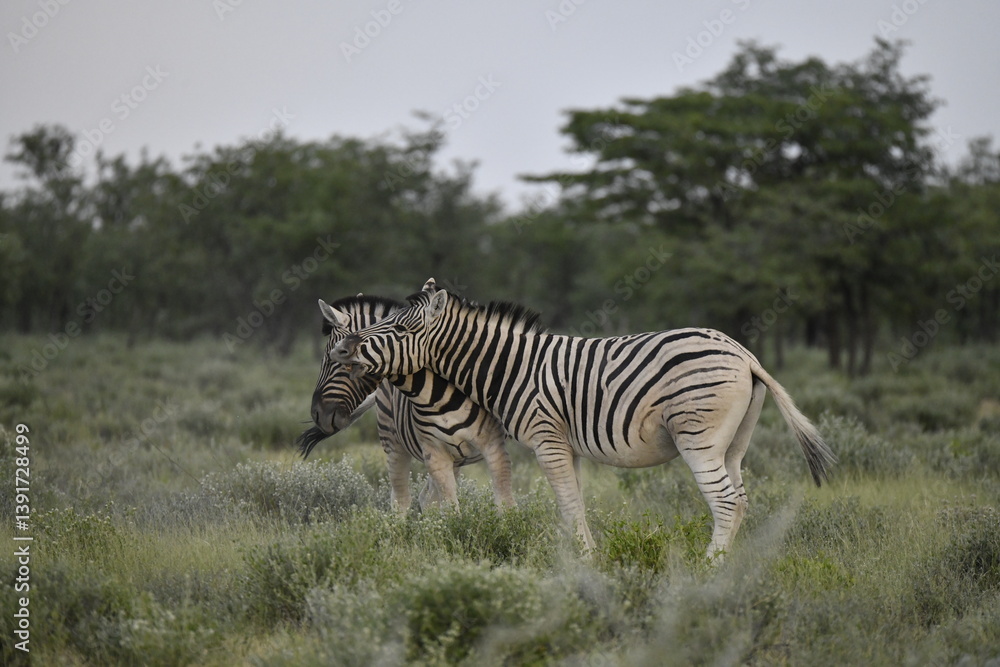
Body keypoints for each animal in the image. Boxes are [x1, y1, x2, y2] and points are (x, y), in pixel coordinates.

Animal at [299, 292, 514, 513]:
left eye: (333, 360)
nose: (316, 414)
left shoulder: (492, 445)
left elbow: (505, 504)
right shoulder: (435, 452)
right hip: (394, 443)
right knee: (403, 500)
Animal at [331, 280, 836, 560]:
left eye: (398, 329)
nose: (346, 348)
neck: (510, 367)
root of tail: (745, 354)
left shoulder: (546, 438)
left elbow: (569, 503)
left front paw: (584, 559)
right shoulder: (566, 444)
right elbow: (571, 502)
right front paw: (572, 556)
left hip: (699, 438)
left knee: (726, 502)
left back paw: (708, 569)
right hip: (734, 444)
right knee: (742, 500)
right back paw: (734, 566)